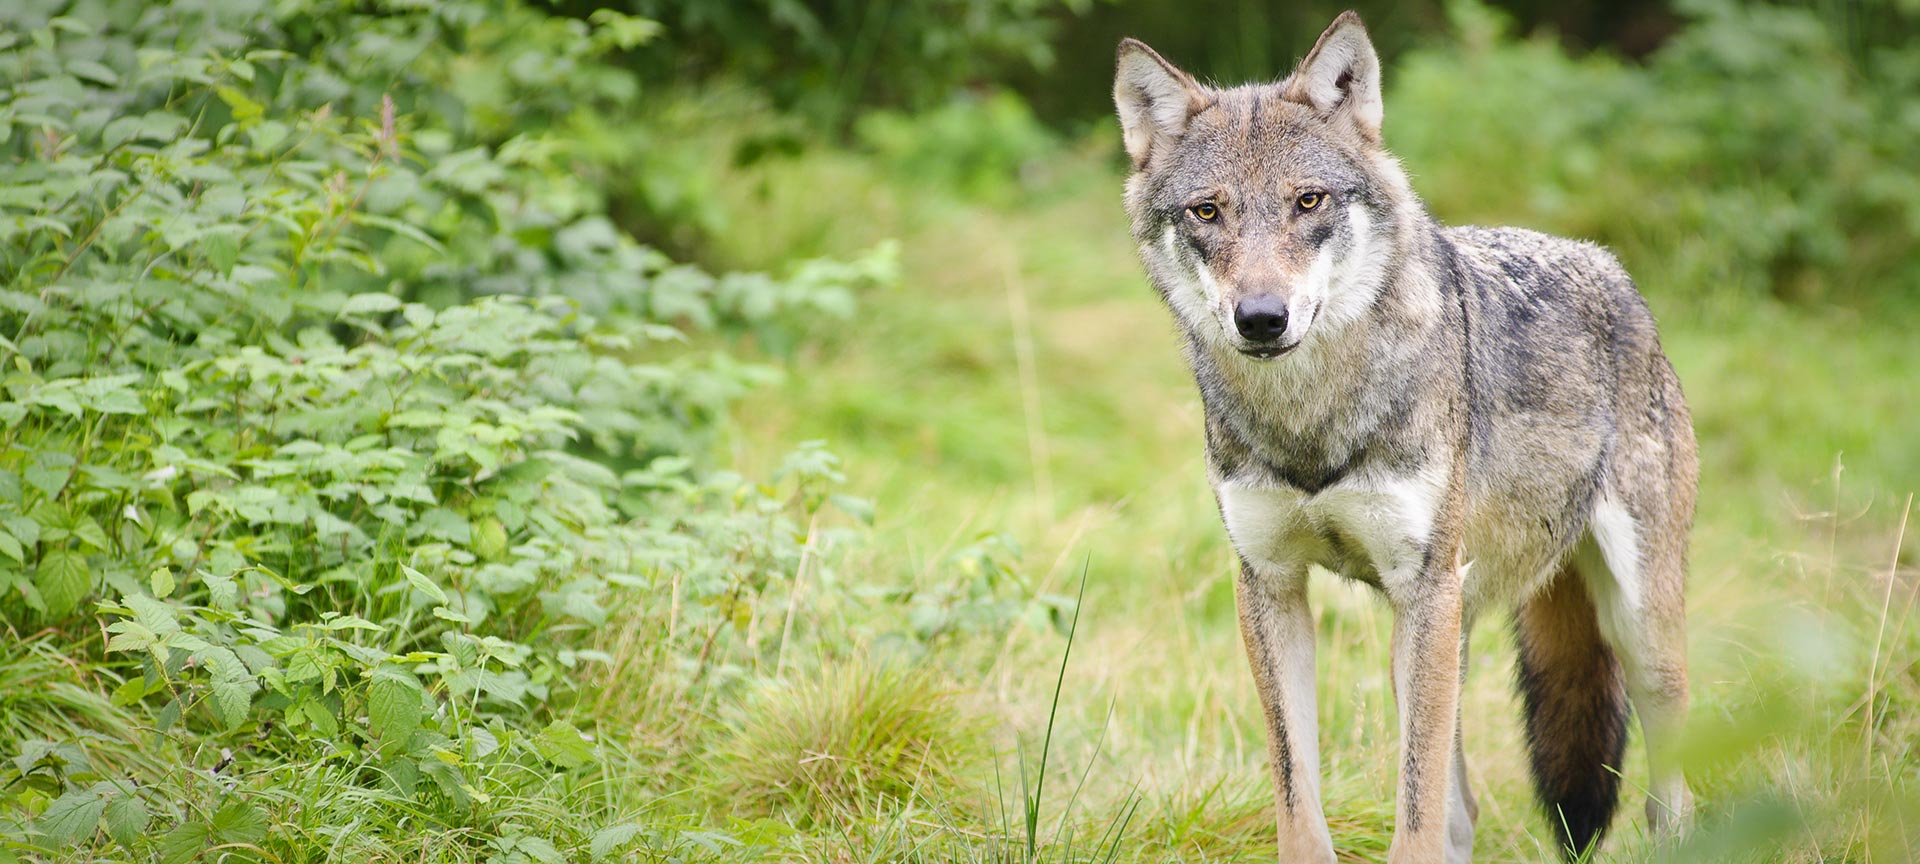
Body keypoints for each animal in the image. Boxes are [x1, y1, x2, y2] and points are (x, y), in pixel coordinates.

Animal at [1113, 11, 1696, 864]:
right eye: (1207, 212)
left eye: (1308, 201)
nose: (1262, 318)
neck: (1312, 422)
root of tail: (1612, 269)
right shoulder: (1270, 585)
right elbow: (1299, 794)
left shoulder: (1422, 586)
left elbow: (1414, 810)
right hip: (1437, 632)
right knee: (1465, 810)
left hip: (1628, 631)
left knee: (1670, 799)